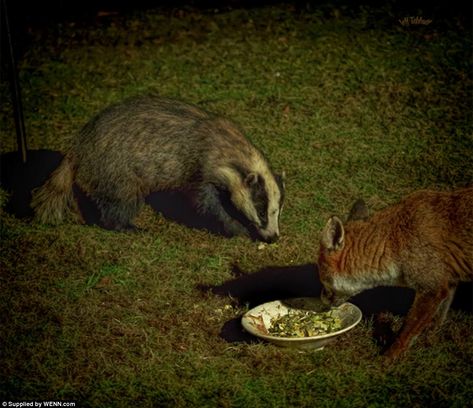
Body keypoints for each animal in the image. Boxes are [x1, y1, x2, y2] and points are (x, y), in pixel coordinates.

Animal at [318, 188, 472, 360]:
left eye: (322, 277)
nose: (321, 300)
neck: (395, 242)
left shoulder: (432, 289)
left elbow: (407, 329)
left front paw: (388, 358)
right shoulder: (447, 279)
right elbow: (441, 313)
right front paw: (433, 331)